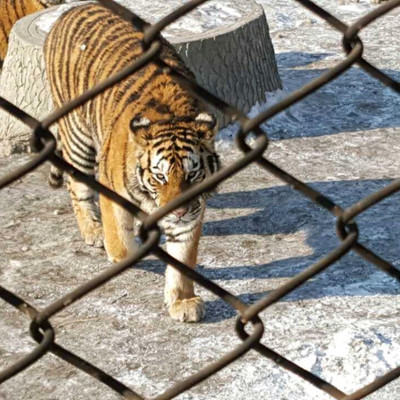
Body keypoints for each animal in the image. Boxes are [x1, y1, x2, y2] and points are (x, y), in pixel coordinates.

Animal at [45, 3, 220, 322]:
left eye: (193, 174)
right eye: (160, 177)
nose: (177, 212)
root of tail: (72, 8)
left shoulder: (192, 214)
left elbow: (183, 258)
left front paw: (182, 301)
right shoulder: (112, 187)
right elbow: (121, 243)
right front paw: (120, 248)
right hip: (78, 135)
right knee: (76, 186)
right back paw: (93, 231)